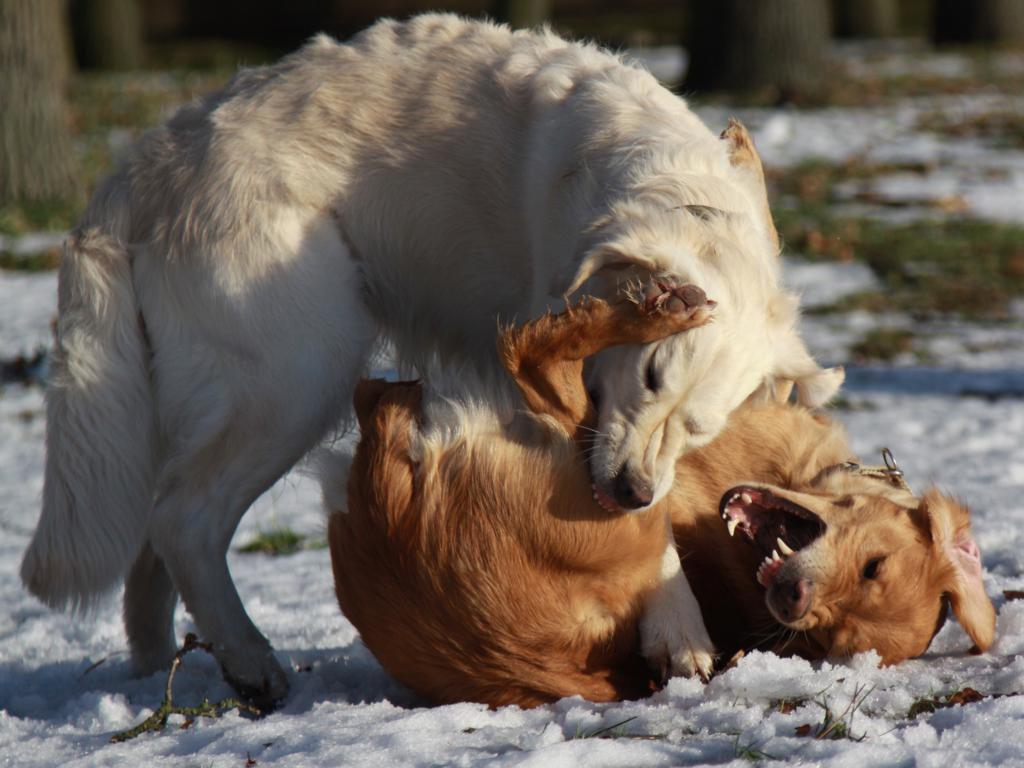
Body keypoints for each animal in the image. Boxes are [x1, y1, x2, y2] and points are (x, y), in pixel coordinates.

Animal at [22, 13, 839, 708]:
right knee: (183, 518)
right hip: (298, 372)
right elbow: (650, 528)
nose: (631, 491)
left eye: (702, 427)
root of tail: (144, 165)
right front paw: (677, 627)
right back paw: (250, 661)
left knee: (158, 529)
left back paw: (165, 662)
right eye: (648, 377)